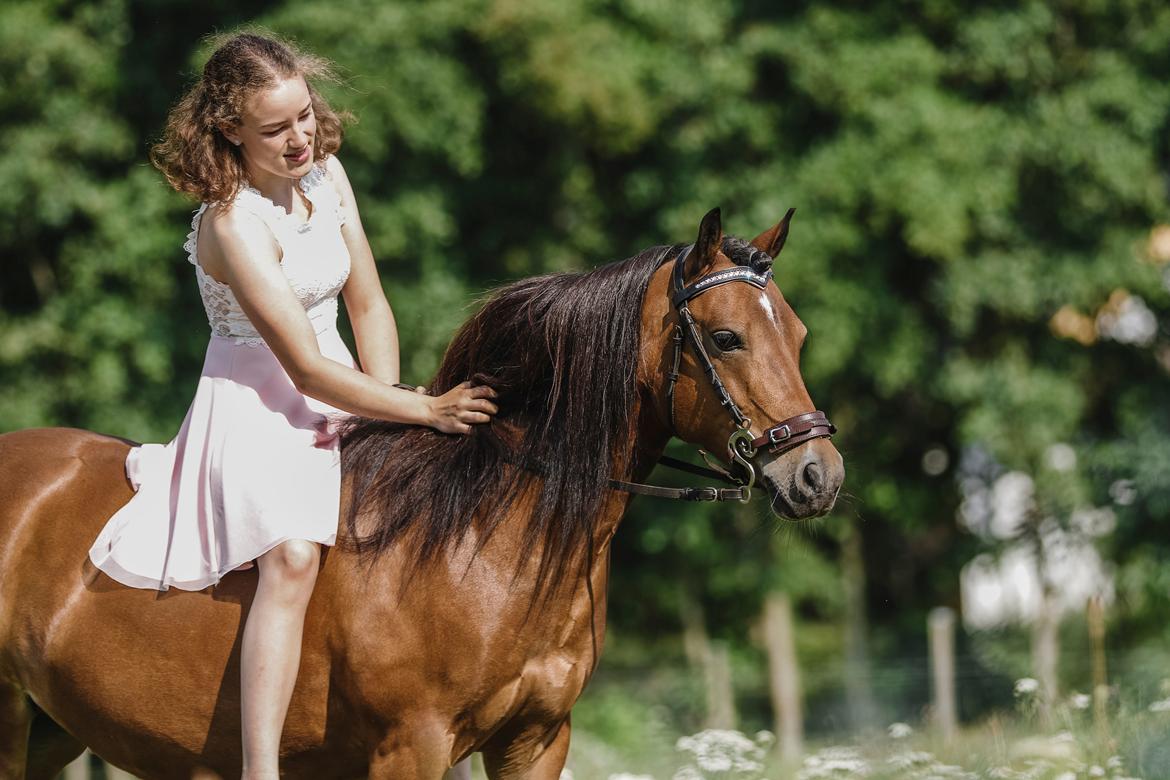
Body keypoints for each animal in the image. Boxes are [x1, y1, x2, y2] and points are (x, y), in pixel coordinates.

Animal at [0, 209, 842, 780]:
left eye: (799, 334)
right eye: (727, 338)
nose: (819, 476)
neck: (489, 539)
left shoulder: (536, 741)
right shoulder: (413, 745)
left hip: (48, 731)